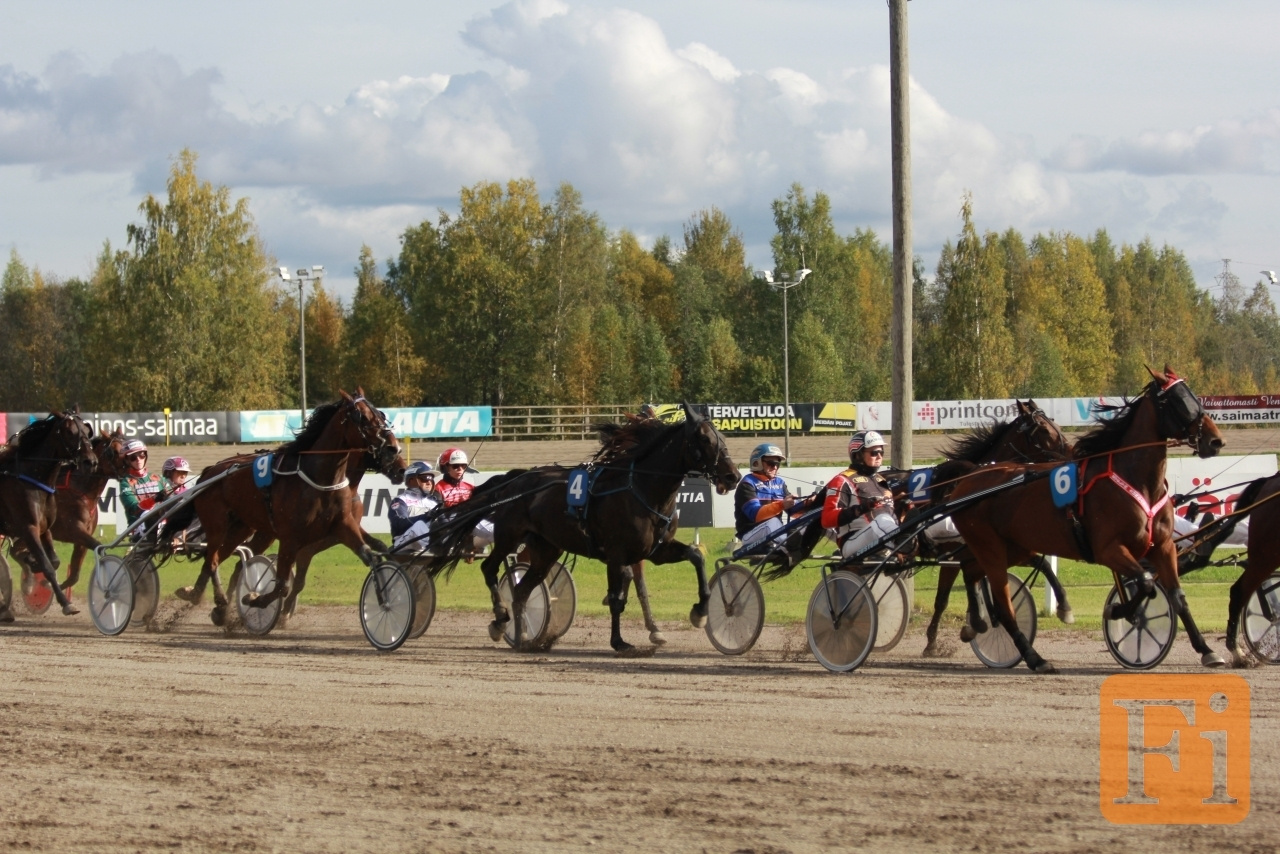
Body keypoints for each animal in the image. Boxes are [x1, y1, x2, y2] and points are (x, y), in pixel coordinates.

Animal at [0, 409, 97, 617]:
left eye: (87, 429)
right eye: (69, 431)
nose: (90, 461)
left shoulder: (45, 528)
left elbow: (54, 561)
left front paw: (31, 565)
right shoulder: (29, 529)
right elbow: (47, 566)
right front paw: (66, 603)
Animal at [175, 394, 401, 627]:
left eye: (381, 415)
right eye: (362, 417)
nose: (394, 450)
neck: (319, 479)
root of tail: (211, 470)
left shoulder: (343, 526)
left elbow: (371, 553)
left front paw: (386, 596)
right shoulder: (293, 539)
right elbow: (283, 585)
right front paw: (262, 603)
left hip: (241, 528)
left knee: (219, 558)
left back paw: (206, 600)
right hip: (218, 524)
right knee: (212, 559)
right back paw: (218, 601)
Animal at [430, 404, 742, 650]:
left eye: (722, 436)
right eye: (704, 438)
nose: (733, 476)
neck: (642, 488)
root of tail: (515, 479)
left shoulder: (656, 550)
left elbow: (696, 556)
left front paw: (700, 611)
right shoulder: (617, 553)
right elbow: (617, 595)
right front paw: (619, 642)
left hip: (546, 550)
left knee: (521, 591)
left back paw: (523, 638)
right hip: (509, 535)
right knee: (490, 568)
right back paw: (500, 619)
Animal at [921, 399, 1080, 655]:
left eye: (1055, 423)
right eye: (1044, 430)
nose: (1074, 454)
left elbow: (1042, 564)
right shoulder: (955, 556)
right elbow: (944, 598)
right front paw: (934, 641)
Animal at [947, 368, 1223, 676]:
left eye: (1192, 395)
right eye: (1177, 401)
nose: (1215, 441)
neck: (1135, 480)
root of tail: (965, 482)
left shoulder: (1162, 546)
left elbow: (1176, 596)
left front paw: (1207, 650)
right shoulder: (1108, 549)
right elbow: (1146, 582)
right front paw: (1120, 611)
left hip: (1011, 547)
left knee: (969, 570)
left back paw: (977, 623)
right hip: (990, 547)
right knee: (1003, 606)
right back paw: (1035, 658)